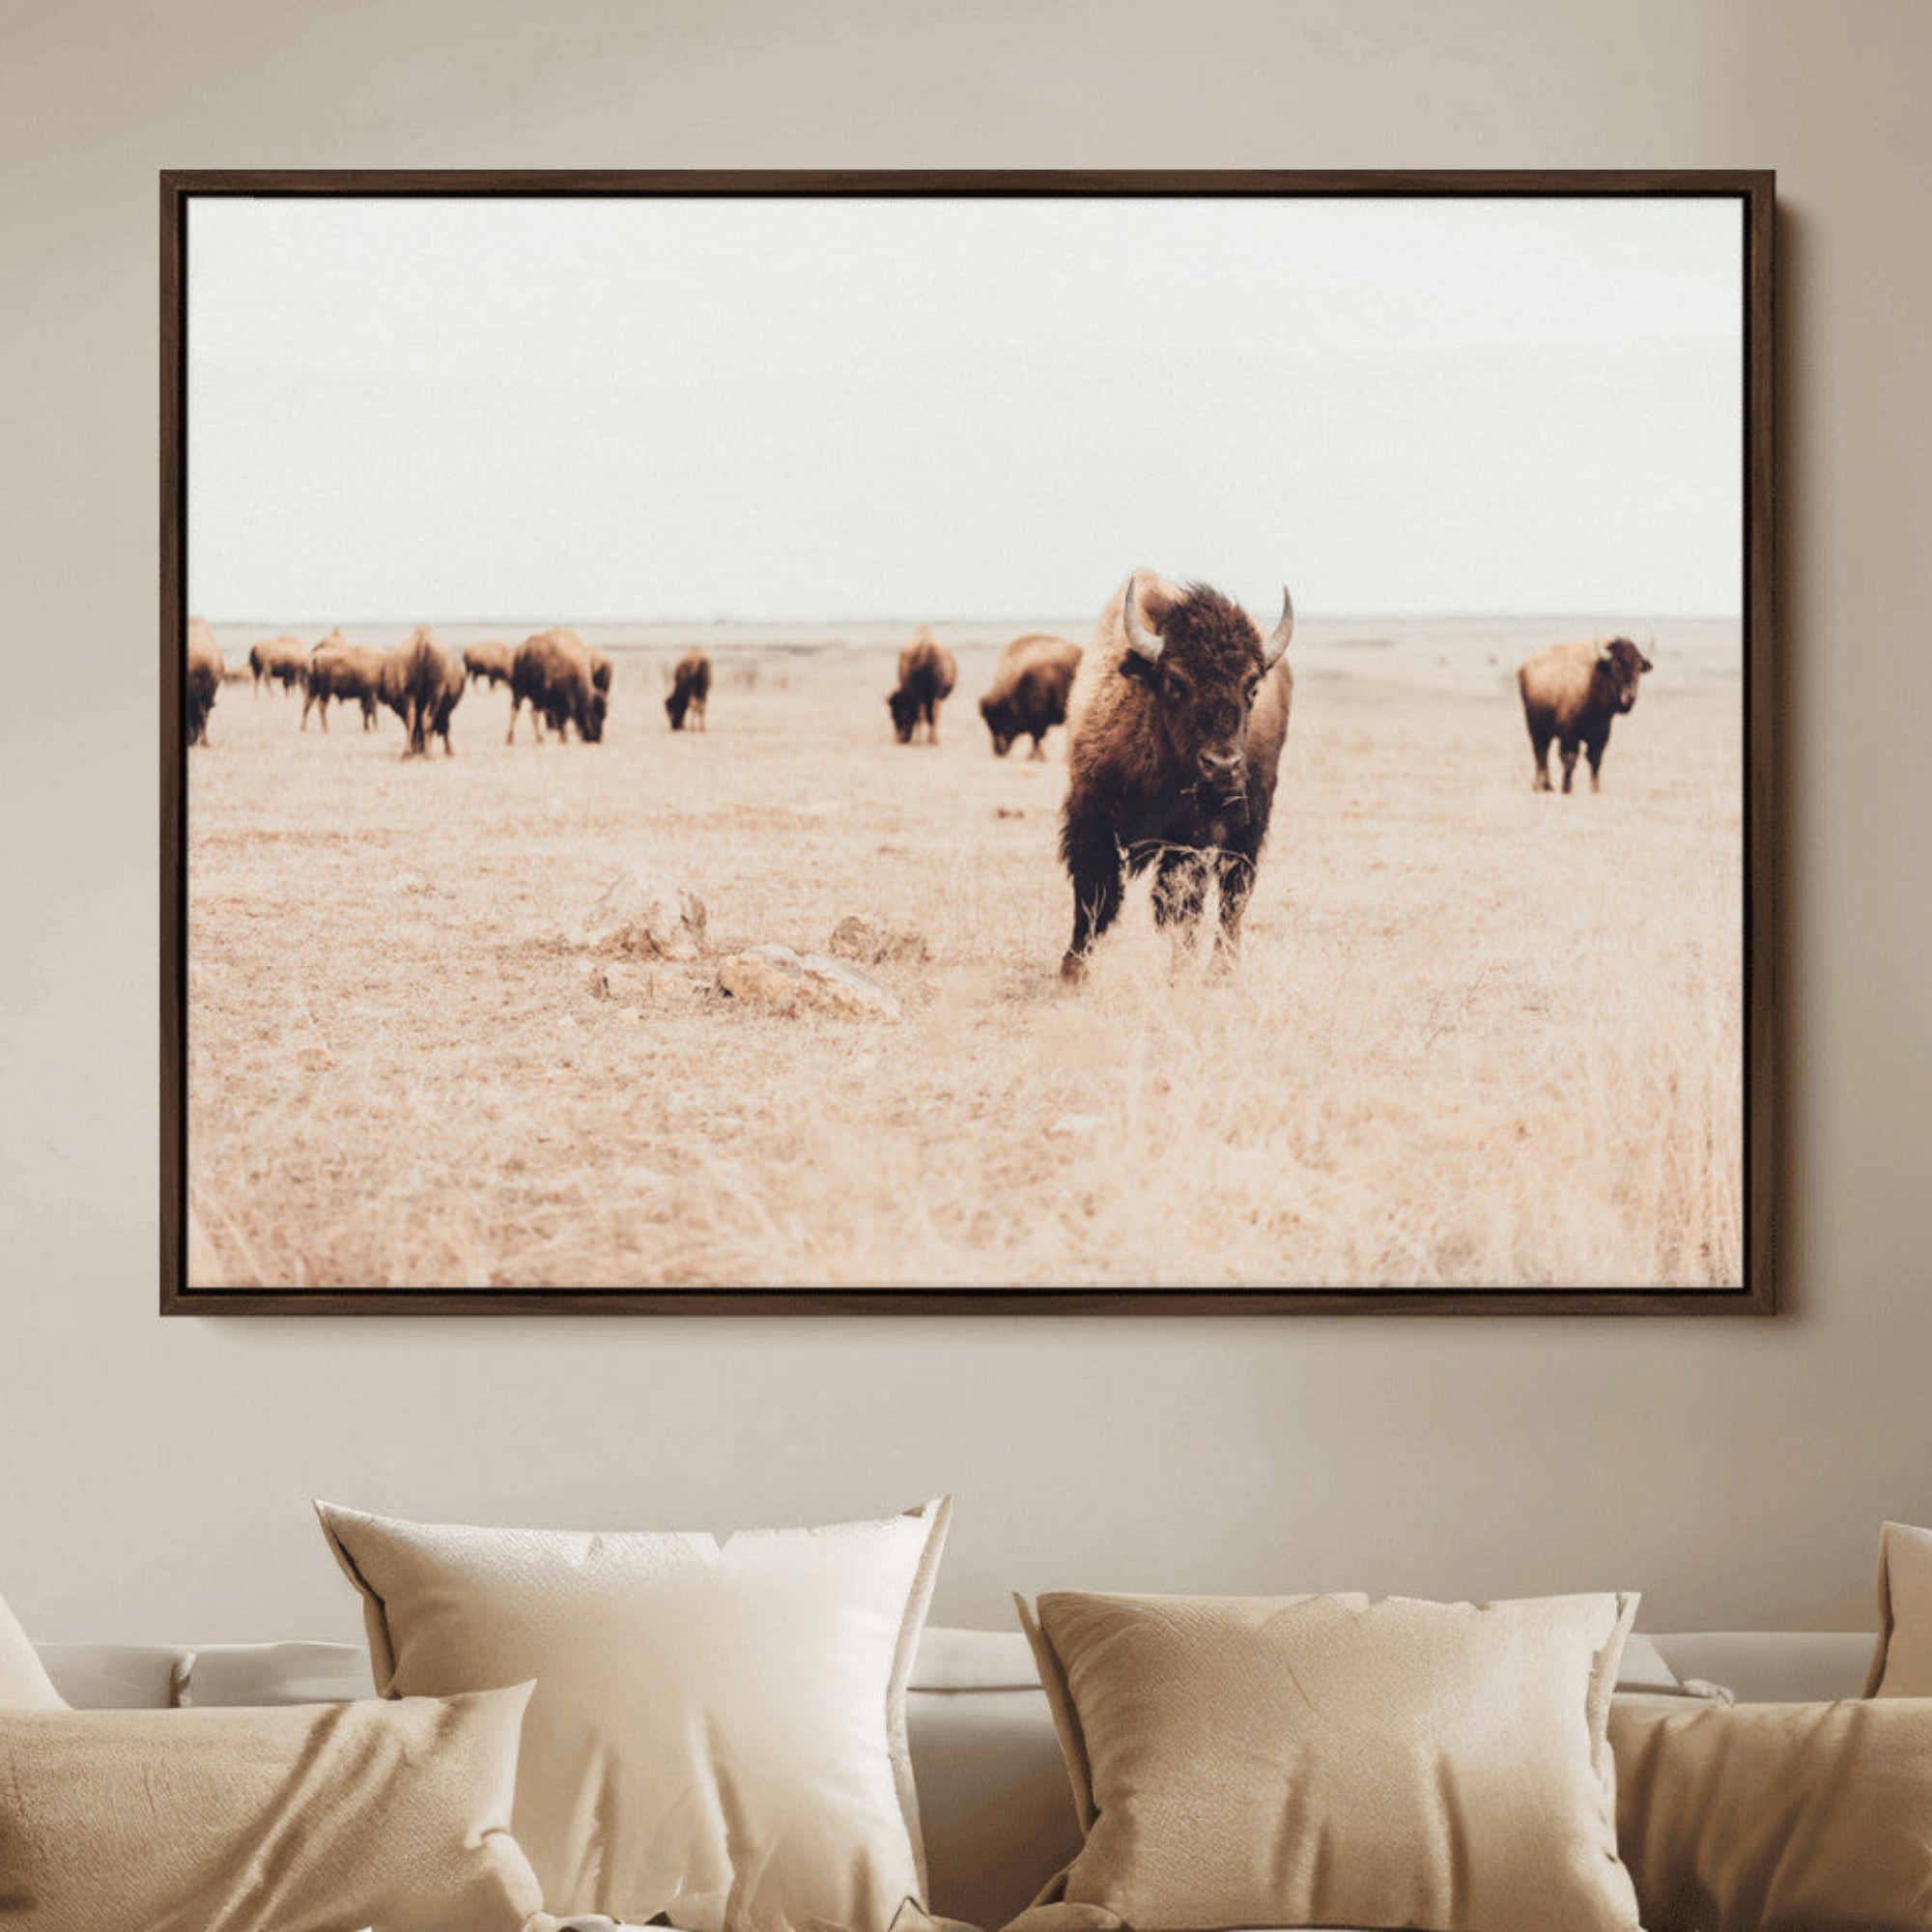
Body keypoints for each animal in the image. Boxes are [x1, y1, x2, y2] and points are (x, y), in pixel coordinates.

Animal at [383, 626, 465, 756]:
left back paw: (407, 752)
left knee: (412, 719)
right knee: (426, 719)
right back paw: (428, 753)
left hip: (409, 693)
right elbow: (445, 727)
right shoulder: (445, 710)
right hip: (436, 693)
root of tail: (422, 641)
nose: (419, 748)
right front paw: (450, 750)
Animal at [979, 633, 1082, 759]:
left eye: (1002, 717)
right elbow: (1036, 738)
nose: (998, 751)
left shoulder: (1038, 719)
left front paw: (1035, 756)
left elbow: (1037, 737)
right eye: (989, 724)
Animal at [1059, 571, 1294, 981]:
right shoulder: (1090, 816)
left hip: (1251, 823)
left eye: (1251, 686)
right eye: (1174, 682)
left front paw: (1180, 971)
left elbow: (1182, 903)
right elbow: (1094, 893)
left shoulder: (1191, 836)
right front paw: (1073, 970)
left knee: (1233, 893)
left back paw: (1221, 967)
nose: (1223, 766)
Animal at [1517, 636, 1653, 793]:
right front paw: (1567, 789)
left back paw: (1545, 785)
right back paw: (1543, 786)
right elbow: (1570, 759)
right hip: (1536, 728)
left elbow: (1595, 760)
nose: (1630, 695)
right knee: (1540, 753)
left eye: (1638, 667)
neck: (1595, 677)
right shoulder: (1569, 735)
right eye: (1616, 666)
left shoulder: (1601, 735)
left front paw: (1595, 789)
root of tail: (1523, 668)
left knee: (1542, 753)